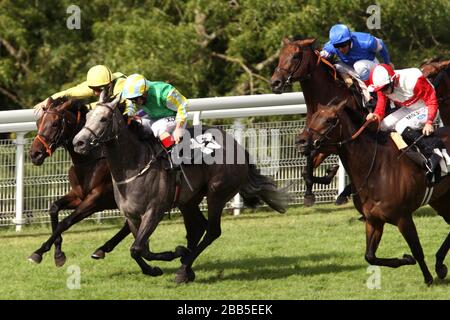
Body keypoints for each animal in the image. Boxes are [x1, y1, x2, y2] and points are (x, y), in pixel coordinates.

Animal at [28, 99, 186, 266]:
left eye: (55, 124)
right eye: (38, 122)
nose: (34, 154)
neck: (91, 160)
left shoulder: (96, 199)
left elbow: (66, 222)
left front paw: (40, 252)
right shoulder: (79, 195)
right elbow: (54, 208)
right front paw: (56, 252)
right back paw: (103, 249)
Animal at [72, 93, 286, 282]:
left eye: (104, 119)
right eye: (87, 117)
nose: (78, 142)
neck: (134, 166)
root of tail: (239, 147)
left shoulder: (154, 211)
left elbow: (137, 249)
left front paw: (175, 252)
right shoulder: (132, 216)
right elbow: (141, 249)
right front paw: (155, 268)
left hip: (217, 193)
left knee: (212, 231)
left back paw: (183, 270)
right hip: (188, 201)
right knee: (196, 228)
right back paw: (187, 268)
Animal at [298, 99, 450, 284]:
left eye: (330, 120)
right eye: (312, 116)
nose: (301, 141)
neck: (375, 166)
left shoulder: (403, 217)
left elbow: (417, 250)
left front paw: (427, 278)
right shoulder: (373, 220)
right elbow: (370, 256)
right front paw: (406, 259)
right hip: (441, 199)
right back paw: (440, 264)